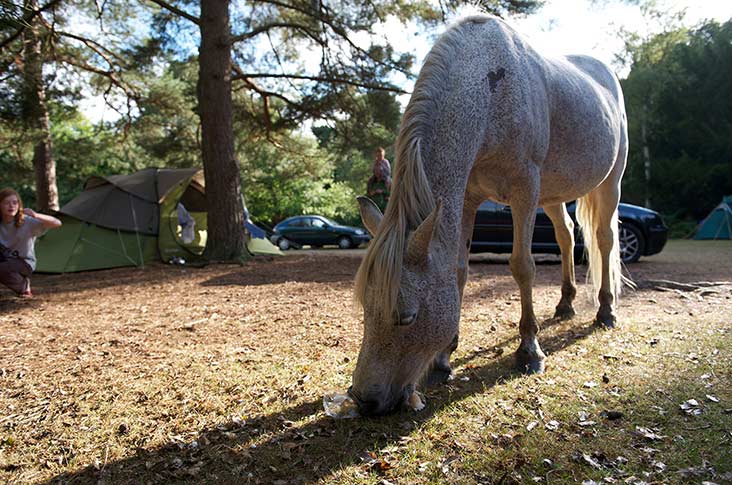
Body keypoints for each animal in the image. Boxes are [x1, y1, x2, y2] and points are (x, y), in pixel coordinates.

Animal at [348, 16, 628, 416]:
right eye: (365, 310)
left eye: (408, 316)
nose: (365, 400)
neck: (492, 88)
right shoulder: (467, 197)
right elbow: (459, 271)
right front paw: (444, 359)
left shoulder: (525, 187)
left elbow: (523, 266)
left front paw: (529, 351)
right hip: (553, 195)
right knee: (566, 236)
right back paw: (565, 304)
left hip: (609, 183)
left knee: (604, 240)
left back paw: (605, 311)